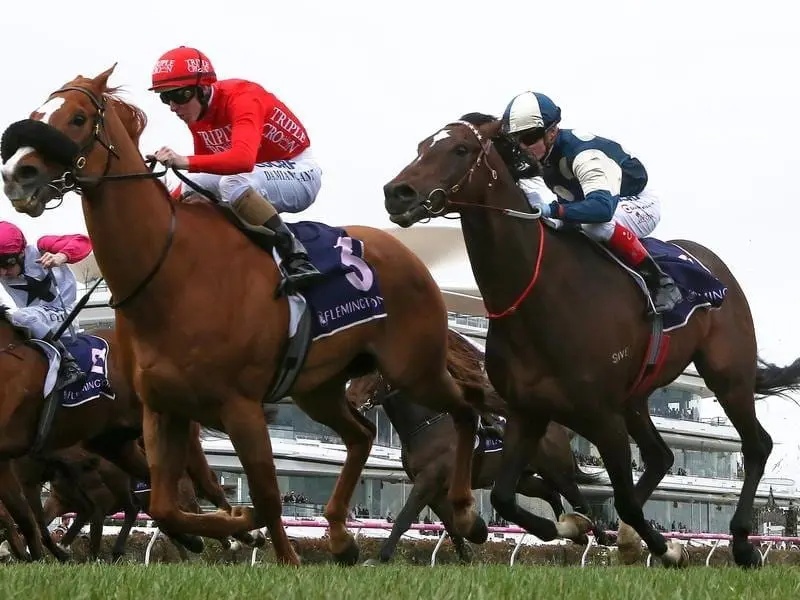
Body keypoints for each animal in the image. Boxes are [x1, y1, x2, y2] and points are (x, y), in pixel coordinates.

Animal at [0, 68, 500, 564]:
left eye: (78, 118)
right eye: (37, 114)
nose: (16, 174)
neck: (171, 271)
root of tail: (408, 256)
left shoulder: (240, 406)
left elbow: (265, 498)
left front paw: (264, 543)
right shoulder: (162, 409)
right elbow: (167, 505)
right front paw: (234, 531)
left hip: (412, 367)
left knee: (466, 407)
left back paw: (467, 514)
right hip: (318, 387)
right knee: (360, 434)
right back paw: (341, 537)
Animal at [346, 328, 604, 564]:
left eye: (371, 370)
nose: (349, 399)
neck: (427, 424)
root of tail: (559, 428)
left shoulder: (429, 479)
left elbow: (404, 518)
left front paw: (379, 558)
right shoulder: (434, 488)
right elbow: (451, 526)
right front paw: (467, 554)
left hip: (556, 471)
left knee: (579, 501)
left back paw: (600, 537)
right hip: (522, 478)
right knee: (549, 493)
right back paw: (574, 531)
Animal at [380, 112, 800, 568]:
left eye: (461, 149)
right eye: (422, 146)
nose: (396, 193)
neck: (540, 297)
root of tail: (712, 264)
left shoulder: (602, 415)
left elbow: (622, 502)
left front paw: (665, 546)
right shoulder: (528, 411)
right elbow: (506, 497)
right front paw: (572, 527)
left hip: (727, 373)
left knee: (755, 445)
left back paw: (741, 543)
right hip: (636, 398)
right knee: (661, 456)